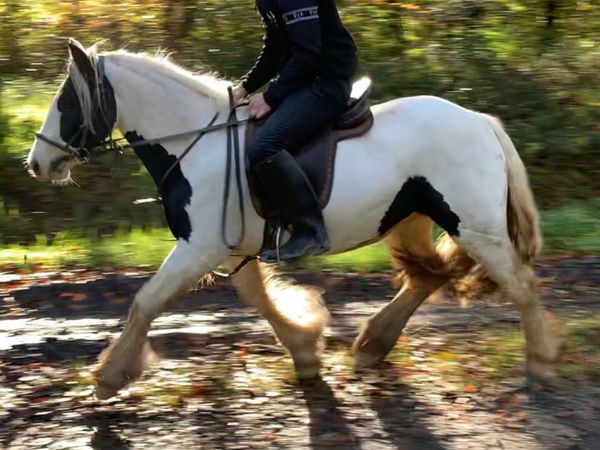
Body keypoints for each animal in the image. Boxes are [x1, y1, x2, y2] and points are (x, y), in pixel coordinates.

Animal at [25, 40, 560, 400]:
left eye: (67, 101)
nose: (37, 163)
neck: (196, 142)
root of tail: (479, 121)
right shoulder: (231, 246)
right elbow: (257, 300)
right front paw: (304, 351)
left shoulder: (199, 247)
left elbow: (146, 301)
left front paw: (108, 375)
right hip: (413, 218)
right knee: (430, 275)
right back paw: (373, 343)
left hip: (473, 224)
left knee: (518, 283)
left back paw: (540, 365)